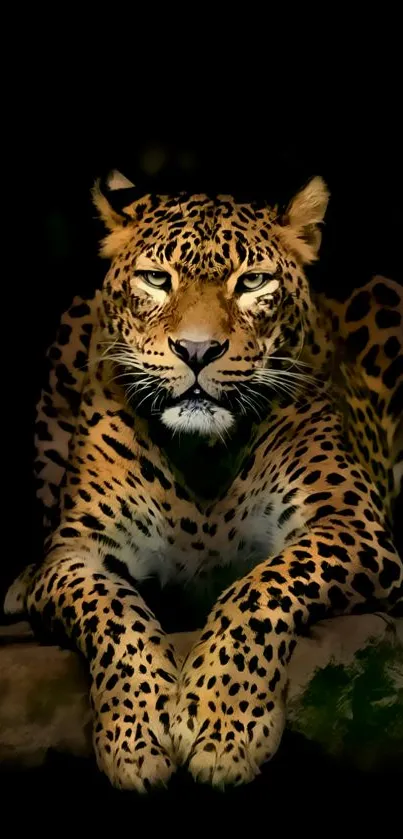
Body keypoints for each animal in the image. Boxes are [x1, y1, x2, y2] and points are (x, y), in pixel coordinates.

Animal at [5, 171, 403, 791]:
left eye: (253, 282)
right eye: (156, 279)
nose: (197, 351)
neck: (202, 458)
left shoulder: (351, 522)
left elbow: (261, 588)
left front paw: (224, 727)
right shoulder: (76, 554)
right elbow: (114, 614)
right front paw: (137, 735)